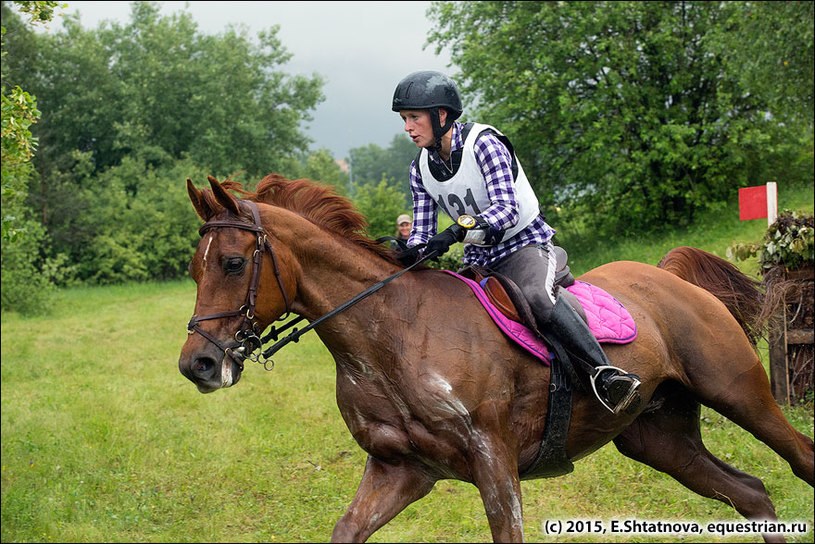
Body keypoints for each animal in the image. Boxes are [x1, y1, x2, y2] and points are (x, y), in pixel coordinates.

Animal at [177, 175, 808, 544]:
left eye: (233, 263)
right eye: (192, 268)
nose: (197, 365)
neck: (393, 334)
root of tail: (668, 276)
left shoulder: (494, 461)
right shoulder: (399, 470)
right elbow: (347, 531)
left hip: (741, 394)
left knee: (799, 458)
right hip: (659, 438)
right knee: (751, 494)